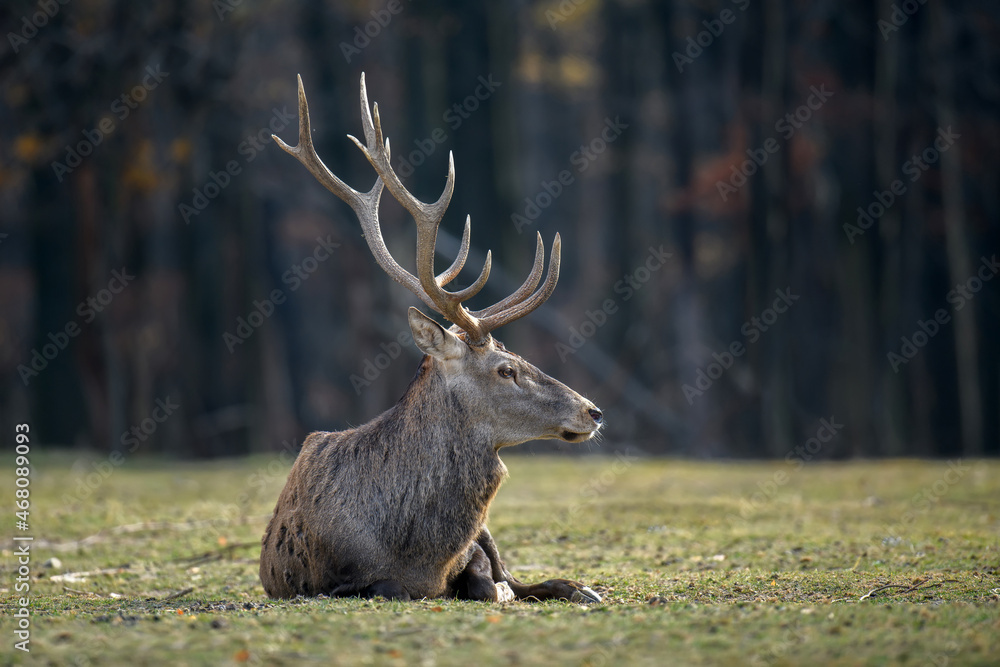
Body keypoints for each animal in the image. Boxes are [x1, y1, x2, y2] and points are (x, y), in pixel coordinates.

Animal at [260, 73, 600, 604]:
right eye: (506, 370)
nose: (593, 411)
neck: (419, 555)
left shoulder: (473, 547)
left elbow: (490, 579)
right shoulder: (339, 581)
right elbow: (395, 587)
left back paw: (582, 587)